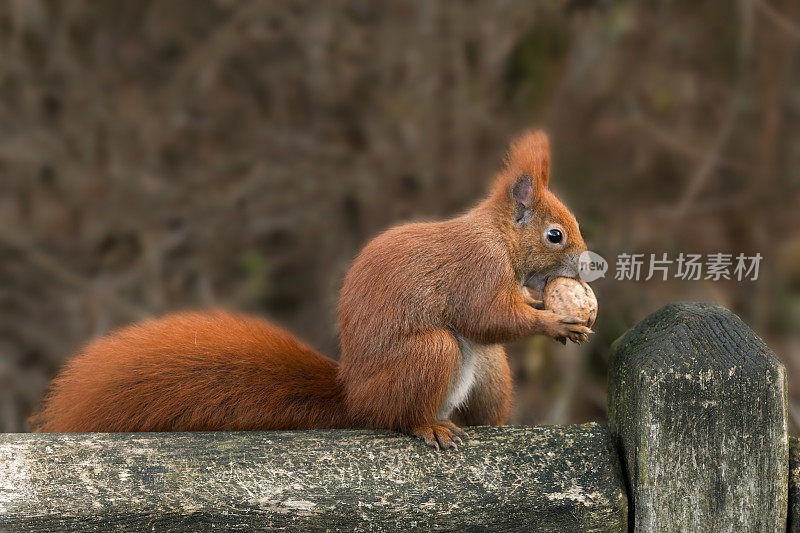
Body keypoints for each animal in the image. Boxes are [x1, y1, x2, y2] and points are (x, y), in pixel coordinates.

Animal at [31, 131, 592, 446]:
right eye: (555, 234)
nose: (587, 267)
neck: (499, 237)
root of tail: (355, 399)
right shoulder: (476, 270)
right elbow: (486, 316)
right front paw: (553, 318)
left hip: (490, 372)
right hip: (429, 355)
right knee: (401, 416)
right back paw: (427, 427)